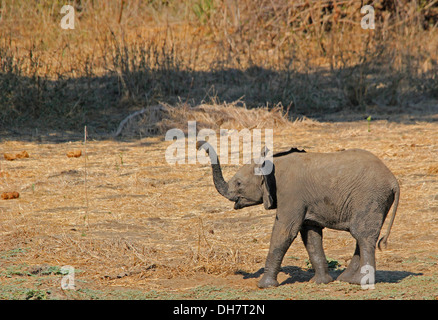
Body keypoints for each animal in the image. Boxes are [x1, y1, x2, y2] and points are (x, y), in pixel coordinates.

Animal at [198, 141, 400, 288]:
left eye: (239, 183)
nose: (200, 145)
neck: (271, 164)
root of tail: (393, 180)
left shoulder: (290, 193)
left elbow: (285, 232)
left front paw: (264, 286)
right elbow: (310, 235)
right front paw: (320, 283)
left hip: (370, 197)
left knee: (363, 235)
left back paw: (360, 282)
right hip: (378, 200)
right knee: (361, 235)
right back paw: (347, 279)